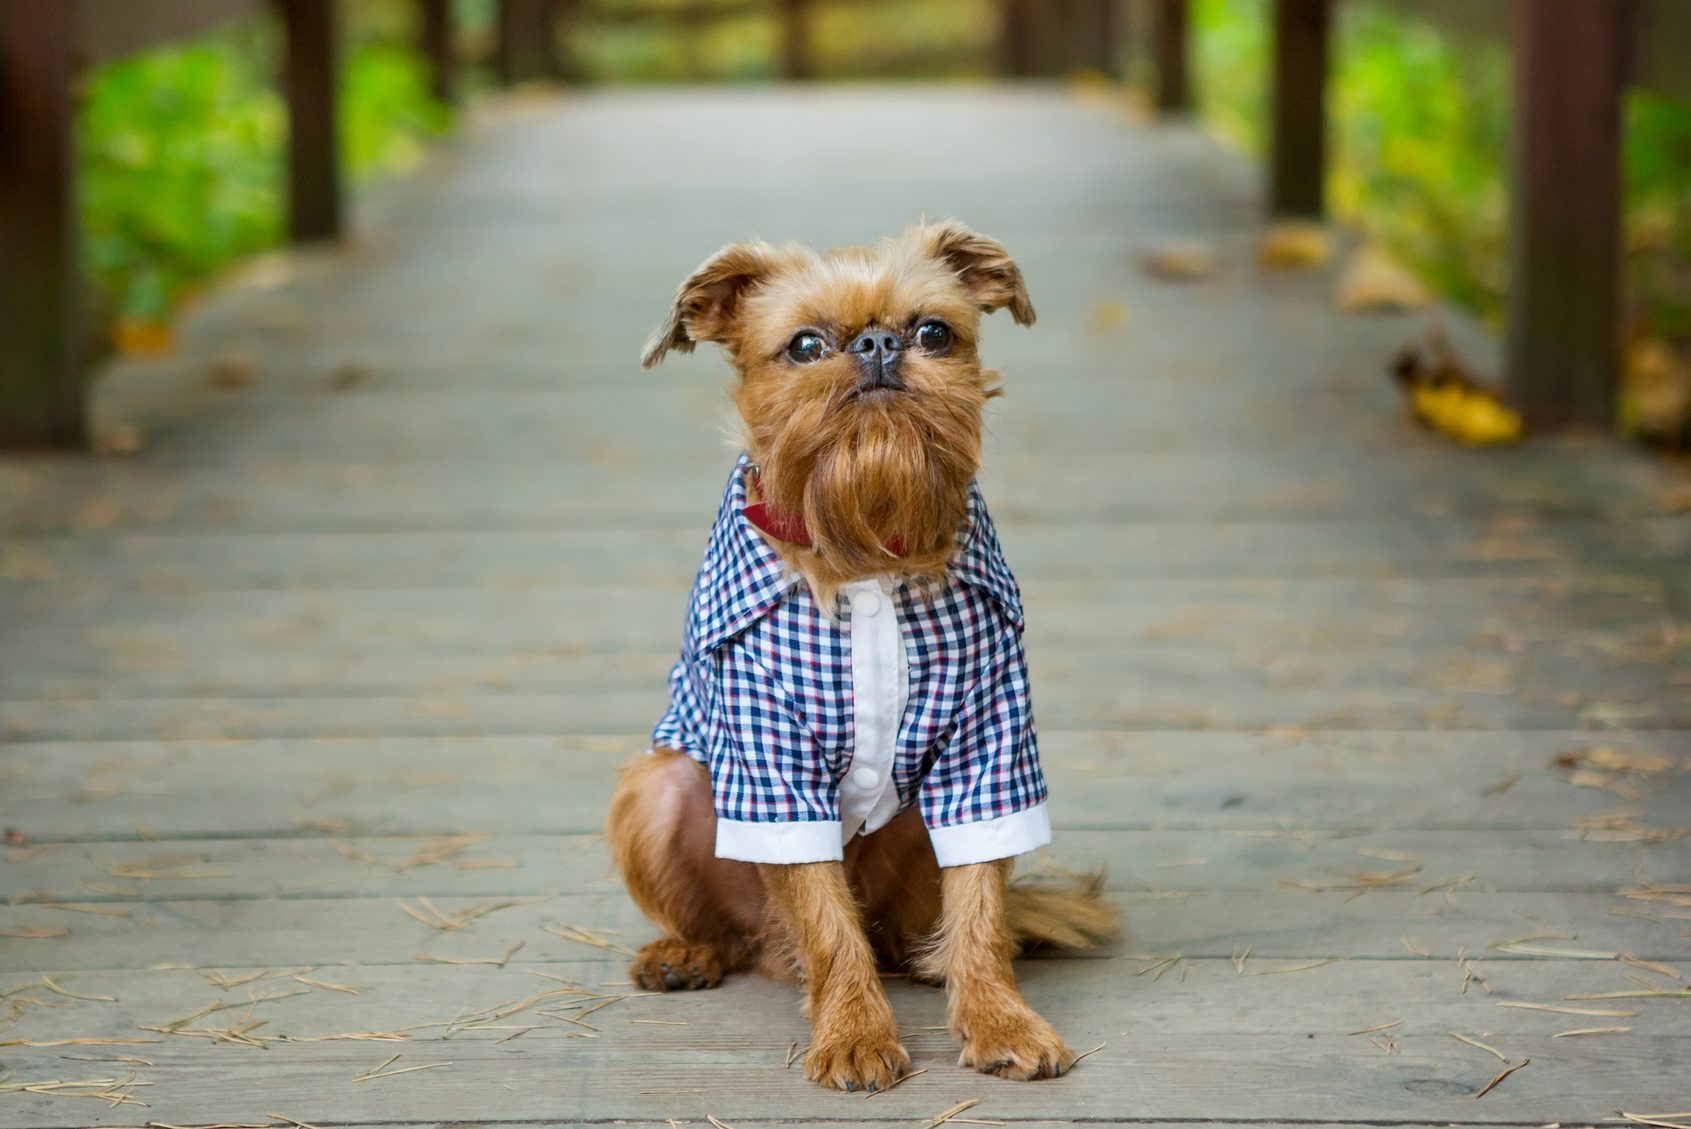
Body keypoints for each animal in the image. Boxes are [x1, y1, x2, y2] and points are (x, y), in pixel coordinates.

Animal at [605, 223, 1109, 1095]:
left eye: (934, 332)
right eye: (805, 346)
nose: (877, 344)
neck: (865, 544)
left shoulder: (987, 754)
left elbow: (979, 899)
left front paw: (998, 1017)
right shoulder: (772, 776)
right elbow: (825, 919)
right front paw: (852, 1031)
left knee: (919, 928)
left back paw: (933, 961)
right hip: (659, 787)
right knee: (746, 932)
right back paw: (685, 952)